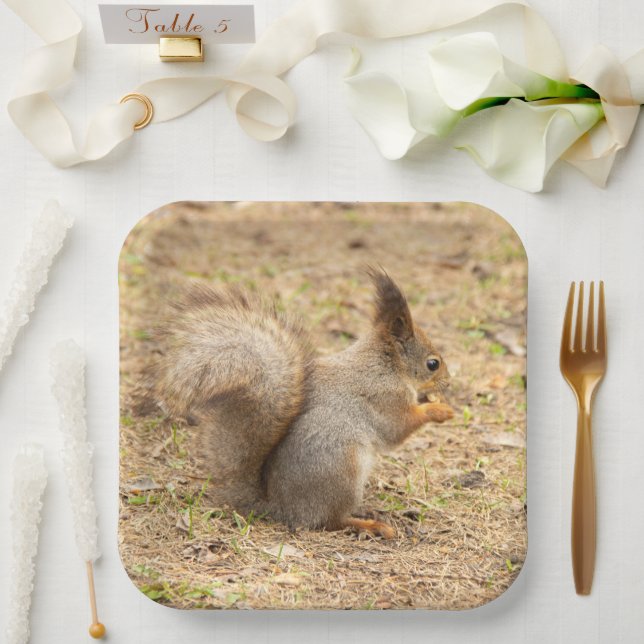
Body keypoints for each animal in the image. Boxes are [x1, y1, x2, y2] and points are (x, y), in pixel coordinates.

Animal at [156, 268, 454, 539]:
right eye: (433, 364)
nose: (448, 383)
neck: (386, 365)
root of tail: (281, 508)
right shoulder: (385, 397)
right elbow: (398, 428)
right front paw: (439, 409)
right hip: (342, 469)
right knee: (330, 521)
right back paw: (370, 525)